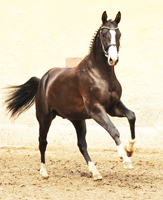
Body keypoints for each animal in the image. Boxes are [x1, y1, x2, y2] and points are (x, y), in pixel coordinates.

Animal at [4, 10, 136, 180]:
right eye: (104, 33)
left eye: (118, 33)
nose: (113, 59)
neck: (101, 74)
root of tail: (43, 80)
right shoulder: (97, 110)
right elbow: (113, 130)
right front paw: (125, 159)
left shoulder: (113, 107)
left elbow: (131, 116)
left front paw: (130, 150)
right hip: (44, 118)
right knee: (42, 142)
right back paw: (44, 171)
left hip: (77, 120)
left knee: (81, 144)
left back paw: (95, 172)